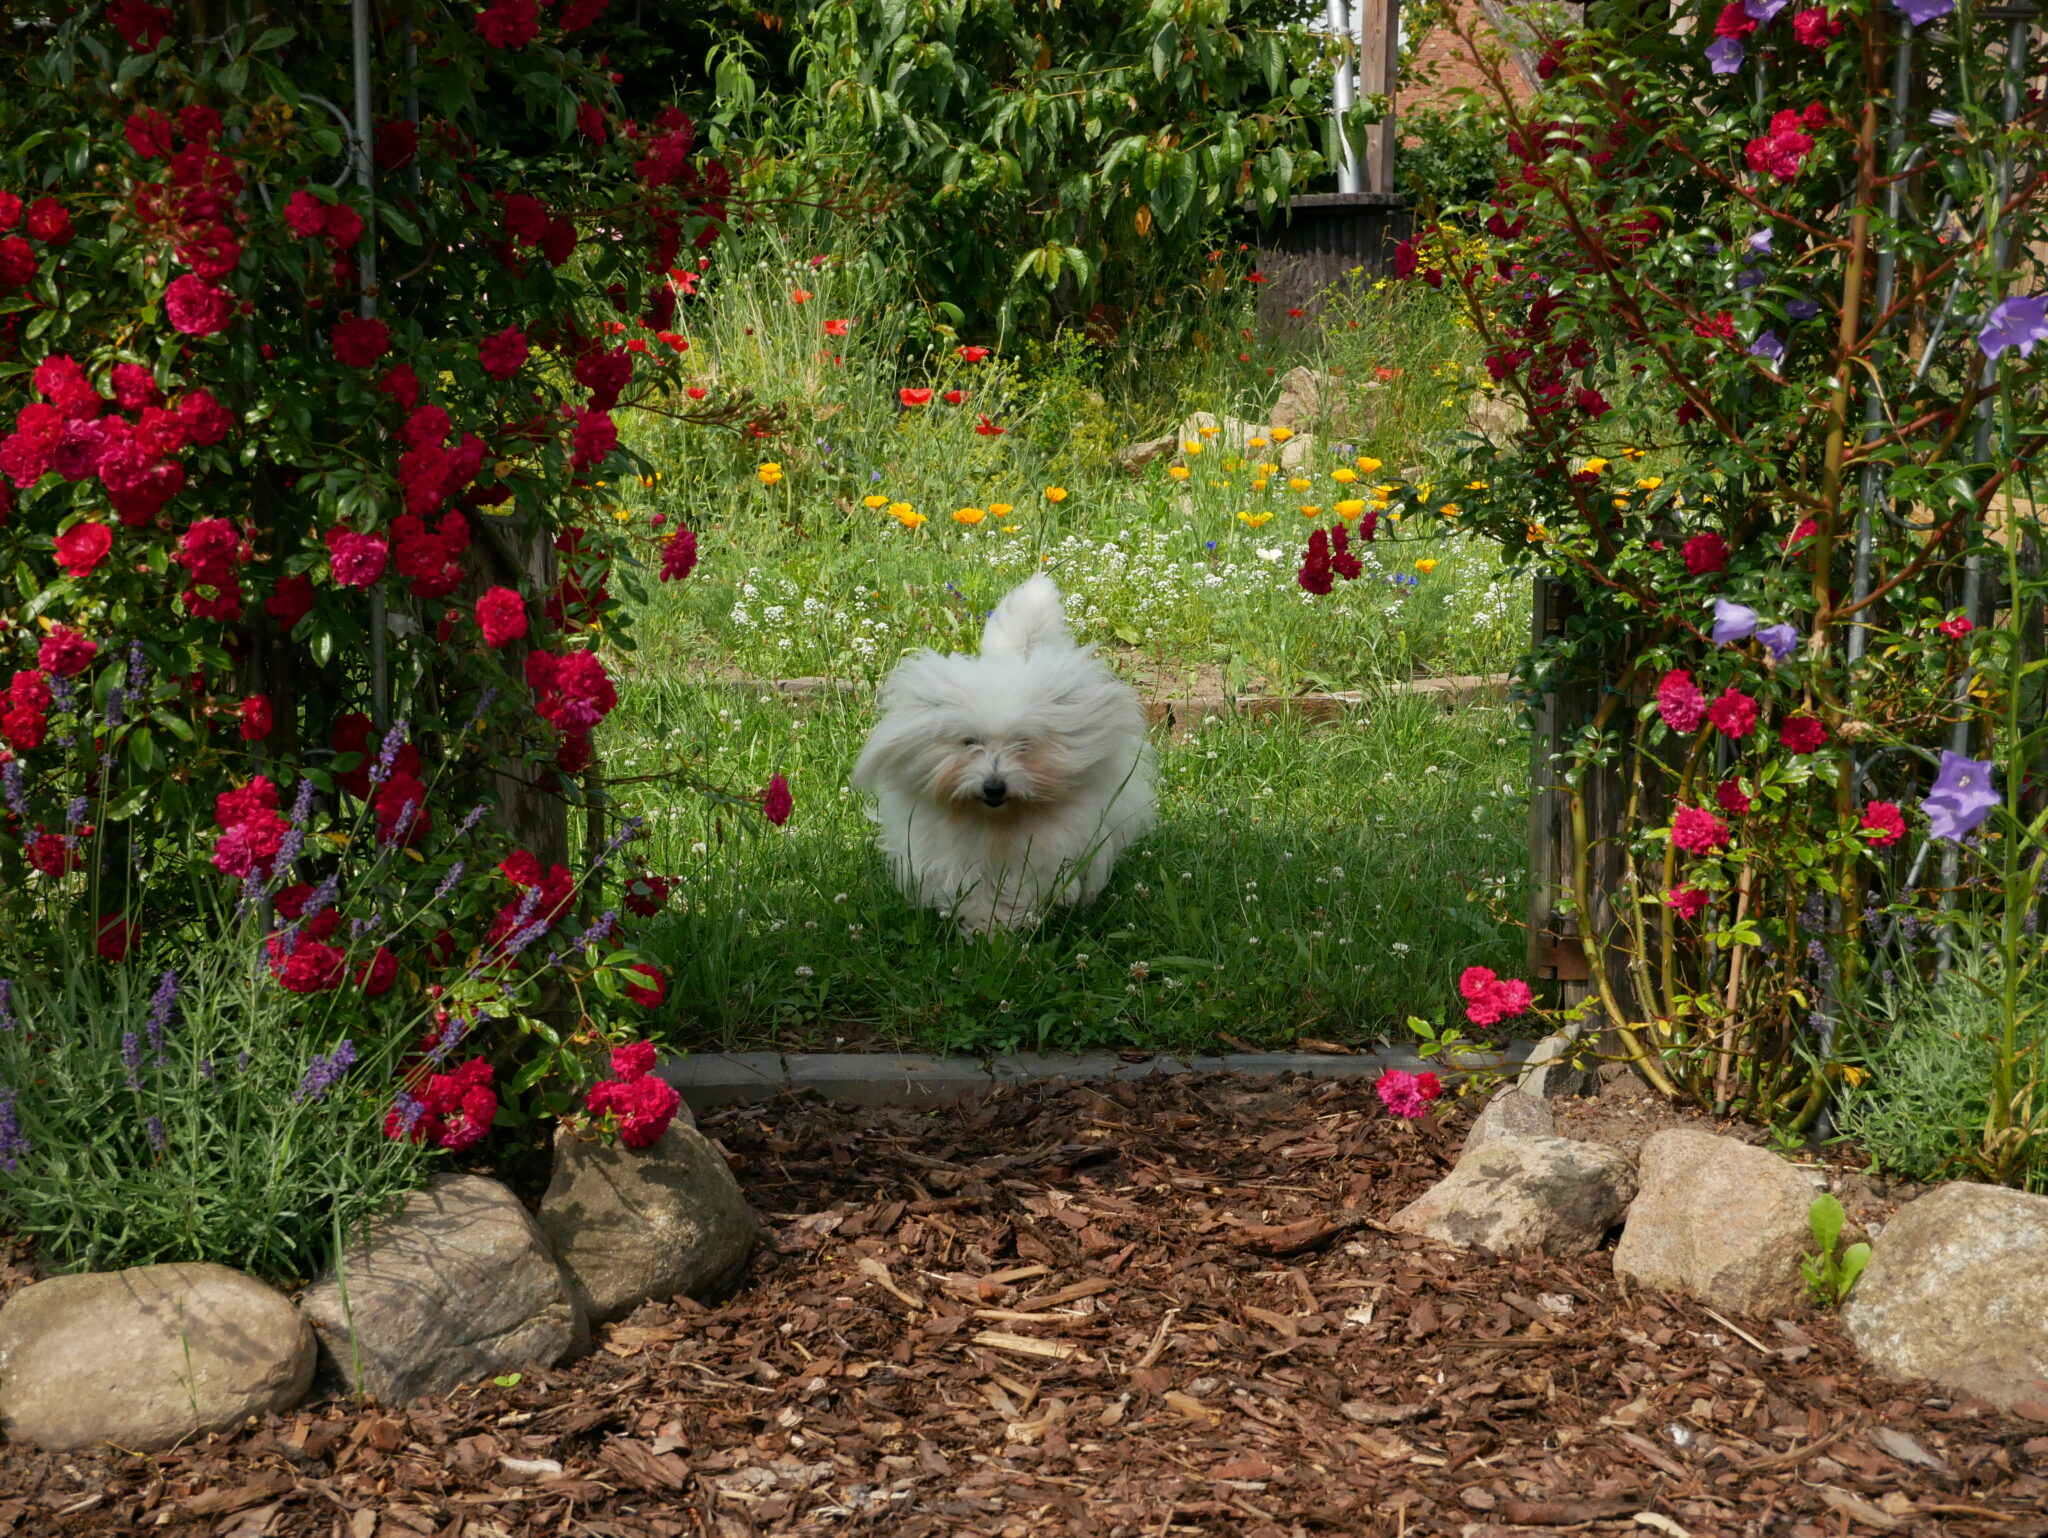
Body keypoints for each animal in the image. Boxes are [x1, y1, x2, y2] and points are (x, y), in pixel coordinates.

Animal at [847, 573, 1155, 933]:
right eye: (969, 742)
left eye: (1023, 743)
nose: (994, 787)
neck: (996, 823)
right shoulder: (947, 851)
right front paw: (980, 923)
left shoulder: (1047, 850)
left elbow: (1021, 886)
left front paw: (1005, 921)